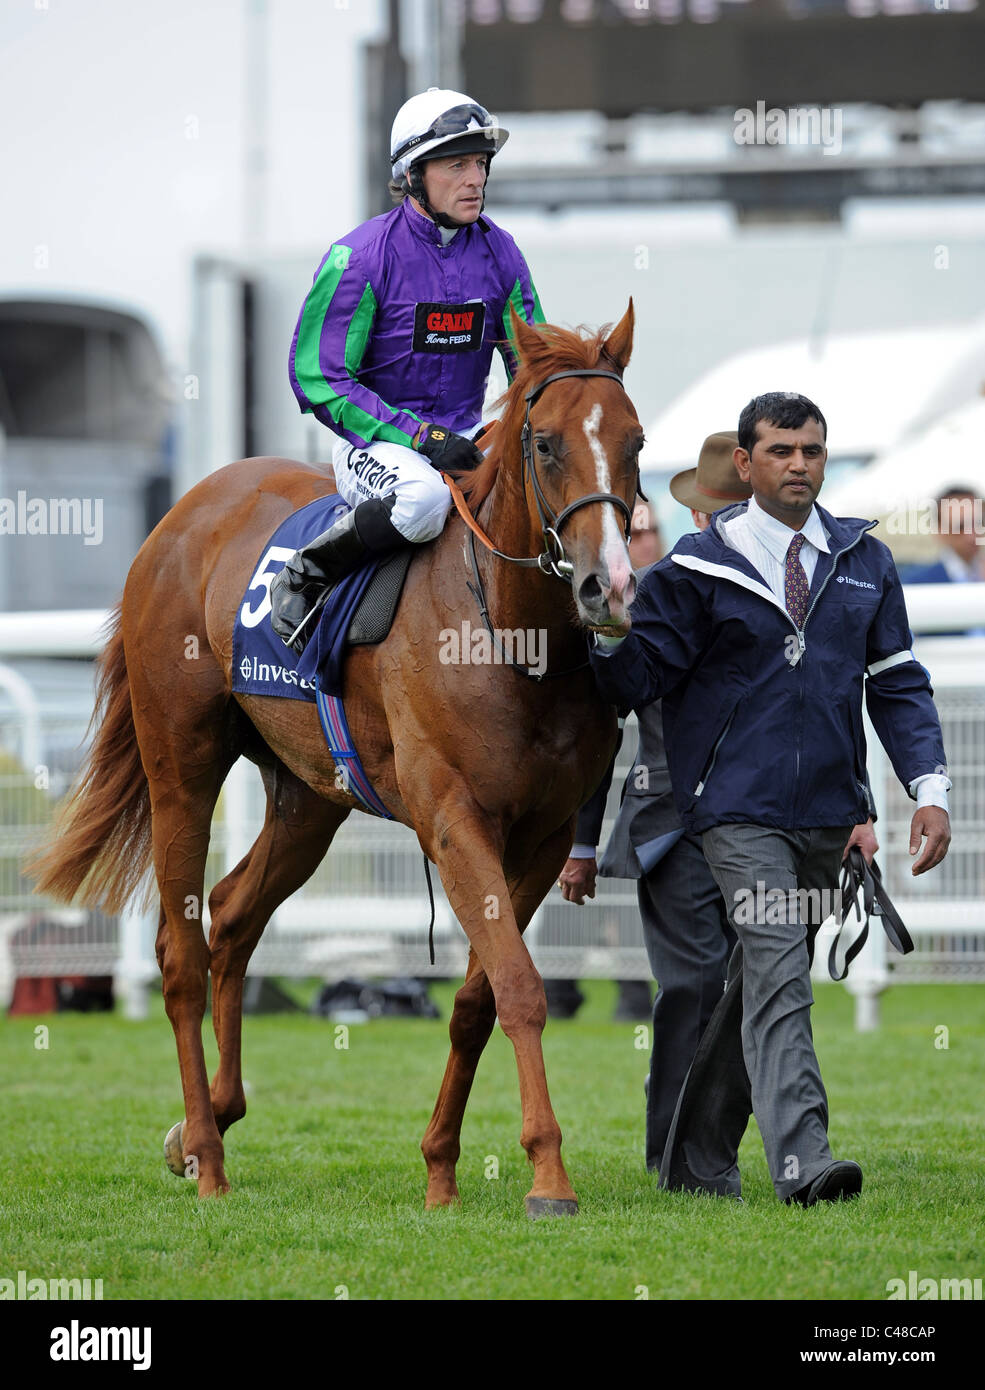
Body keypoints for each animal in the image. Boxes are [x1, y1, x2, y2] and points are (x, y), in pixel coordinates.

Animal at [26, 307, 641, 1217]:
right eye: (546, 444)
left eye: (634, 442)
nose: (610, 587)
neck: (509, 634)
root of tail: (185, 511)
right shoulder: (454, 822)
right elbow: (522, 988)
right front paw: (548, 1176)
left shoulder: (542, 835)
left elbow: (478, 997)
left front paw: (440, 1168)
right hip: (183, 764)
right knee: (182, 954)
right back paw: (207, 1154)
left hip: (308, 797)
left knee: (233, 915)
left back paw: (209, 1117)